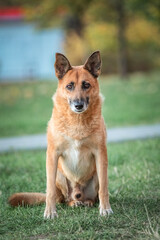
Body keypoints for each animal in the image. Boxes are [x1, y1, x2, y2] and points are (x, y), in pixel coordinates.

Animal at [8, 51, 112, 218]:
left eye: (86, 85)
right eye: (69, 86)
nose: (78, 105)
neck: (77, 121)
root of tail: (78, 193)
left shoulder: (100, 153)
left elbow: (104, 187)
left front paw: (105, 208)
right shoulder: (52, 154)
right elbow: (49, 190)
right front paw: (50, 212)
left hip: (95, 173)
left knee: (92, 196)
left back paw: (87, 202)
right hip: (59, 175)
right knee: (64, 199)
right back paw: (74, 202)